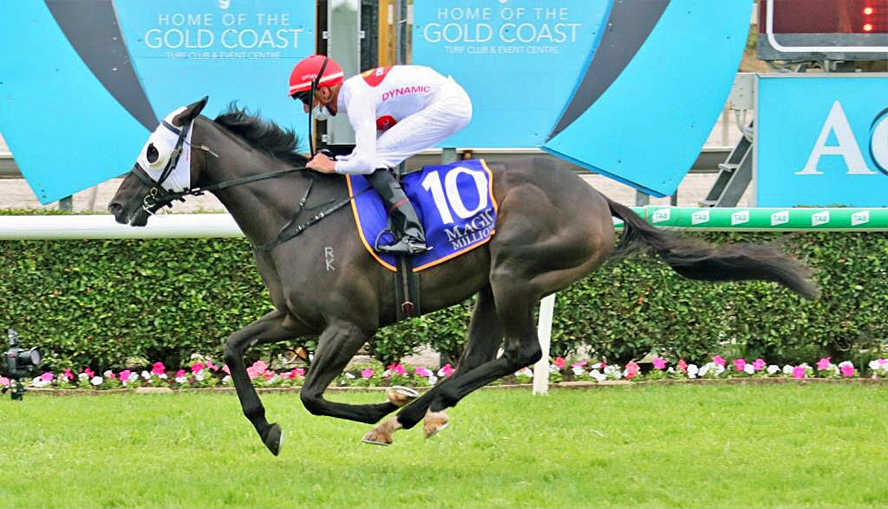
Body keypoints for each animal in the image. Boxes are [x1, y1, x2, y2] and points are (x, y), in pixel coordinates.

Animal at [108, 98, 820, 455]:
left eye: (153, 148)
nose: (118, 204)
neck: (295, 215)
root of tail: (599, 199)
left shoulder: (349, 325)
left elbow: (311, 395)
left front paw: (371, 405)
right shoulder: (295, 317)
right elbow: (233, 349)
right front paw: (268, 428)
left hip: (517, 273)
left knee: (521, 352)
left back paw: (407, 412)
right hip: (489, 286)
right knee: (484, 355)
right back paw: (419, 411)